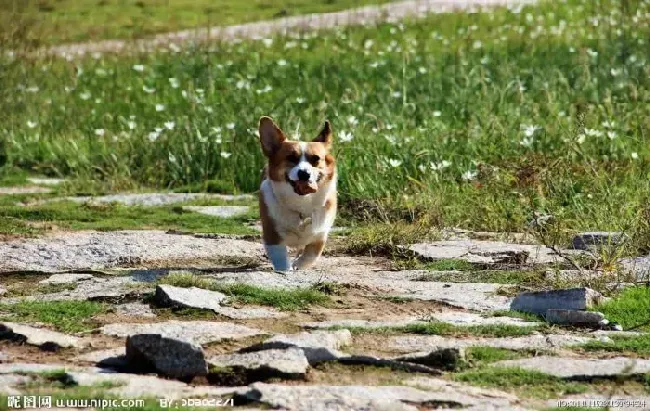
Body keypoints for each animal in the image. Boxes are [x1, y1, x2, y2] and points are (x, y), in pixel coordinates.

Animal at [256, 116, 336, 272]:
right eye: (291, 158)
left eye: (315, 159)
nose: (304, 173)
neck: (302, 203)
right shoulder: (272, 236)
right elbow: (280, 258)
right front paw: (286, 270)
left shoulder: (320, 235)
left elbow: (311, 255)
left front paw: (298, 265)